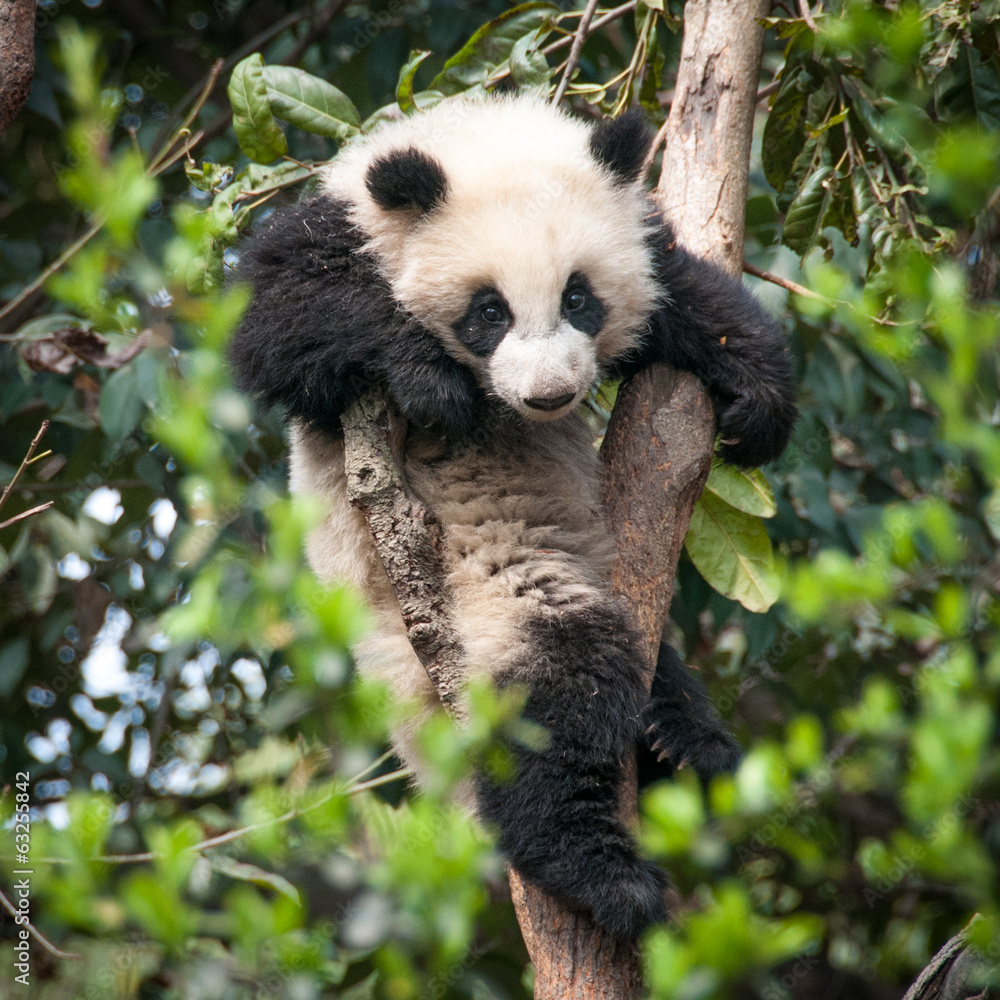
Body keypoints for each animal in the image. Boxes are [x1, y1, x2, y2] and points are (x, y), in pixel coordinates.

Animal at [230, 93, 797, 940]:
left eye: (579, 299)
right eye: (487, 312)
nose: (549, 396)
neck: (468, 141)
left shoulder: (640, 237)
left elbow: (689, 298)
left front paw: (757, 403)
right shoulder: (331, 233)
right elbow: (278, 326)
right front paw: (427, 380)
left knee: (649, 668)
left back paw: (685, 747)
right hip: (469, 608)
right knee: (559, 688)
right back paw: (596, 869)